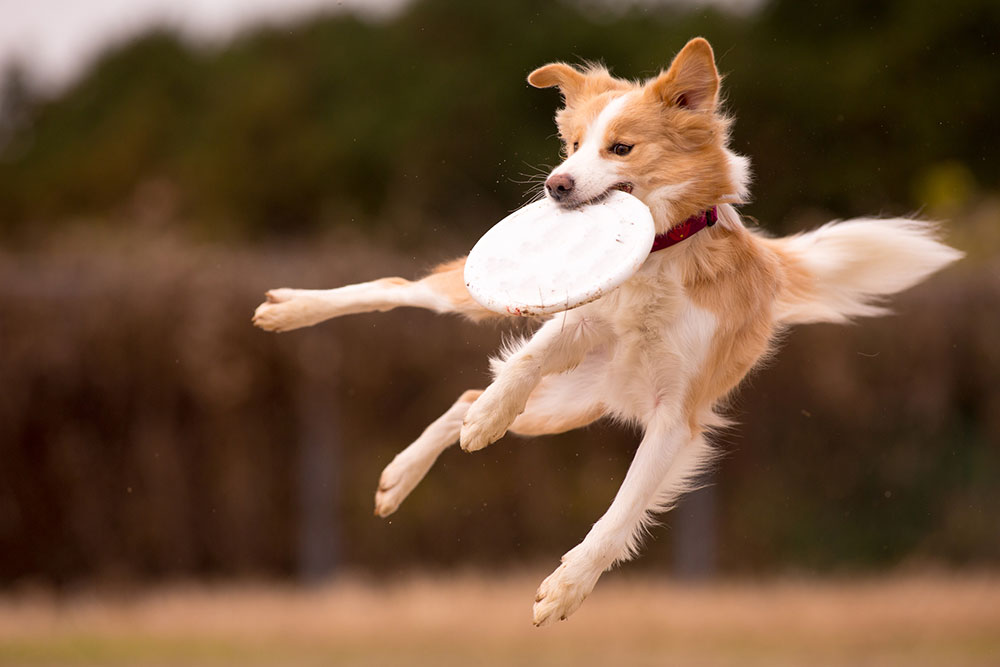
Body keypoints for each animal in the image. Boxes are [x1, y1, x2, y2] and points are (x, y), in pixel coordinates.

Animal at [252, 37, 960, 628]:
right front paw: (491, 419)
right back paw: (294, 315)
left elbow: (620, 512)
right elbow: (519, 368)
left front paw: (568, 587)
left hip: (571, 406)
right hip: (519, 348)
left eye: (621, 148)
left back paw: (403, 473)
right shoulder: (577, 321)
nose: (555, 186)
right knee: (406, 294)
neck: (659, 258)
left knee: (459, 398)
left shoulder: (677, 418)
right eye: (572, 148)